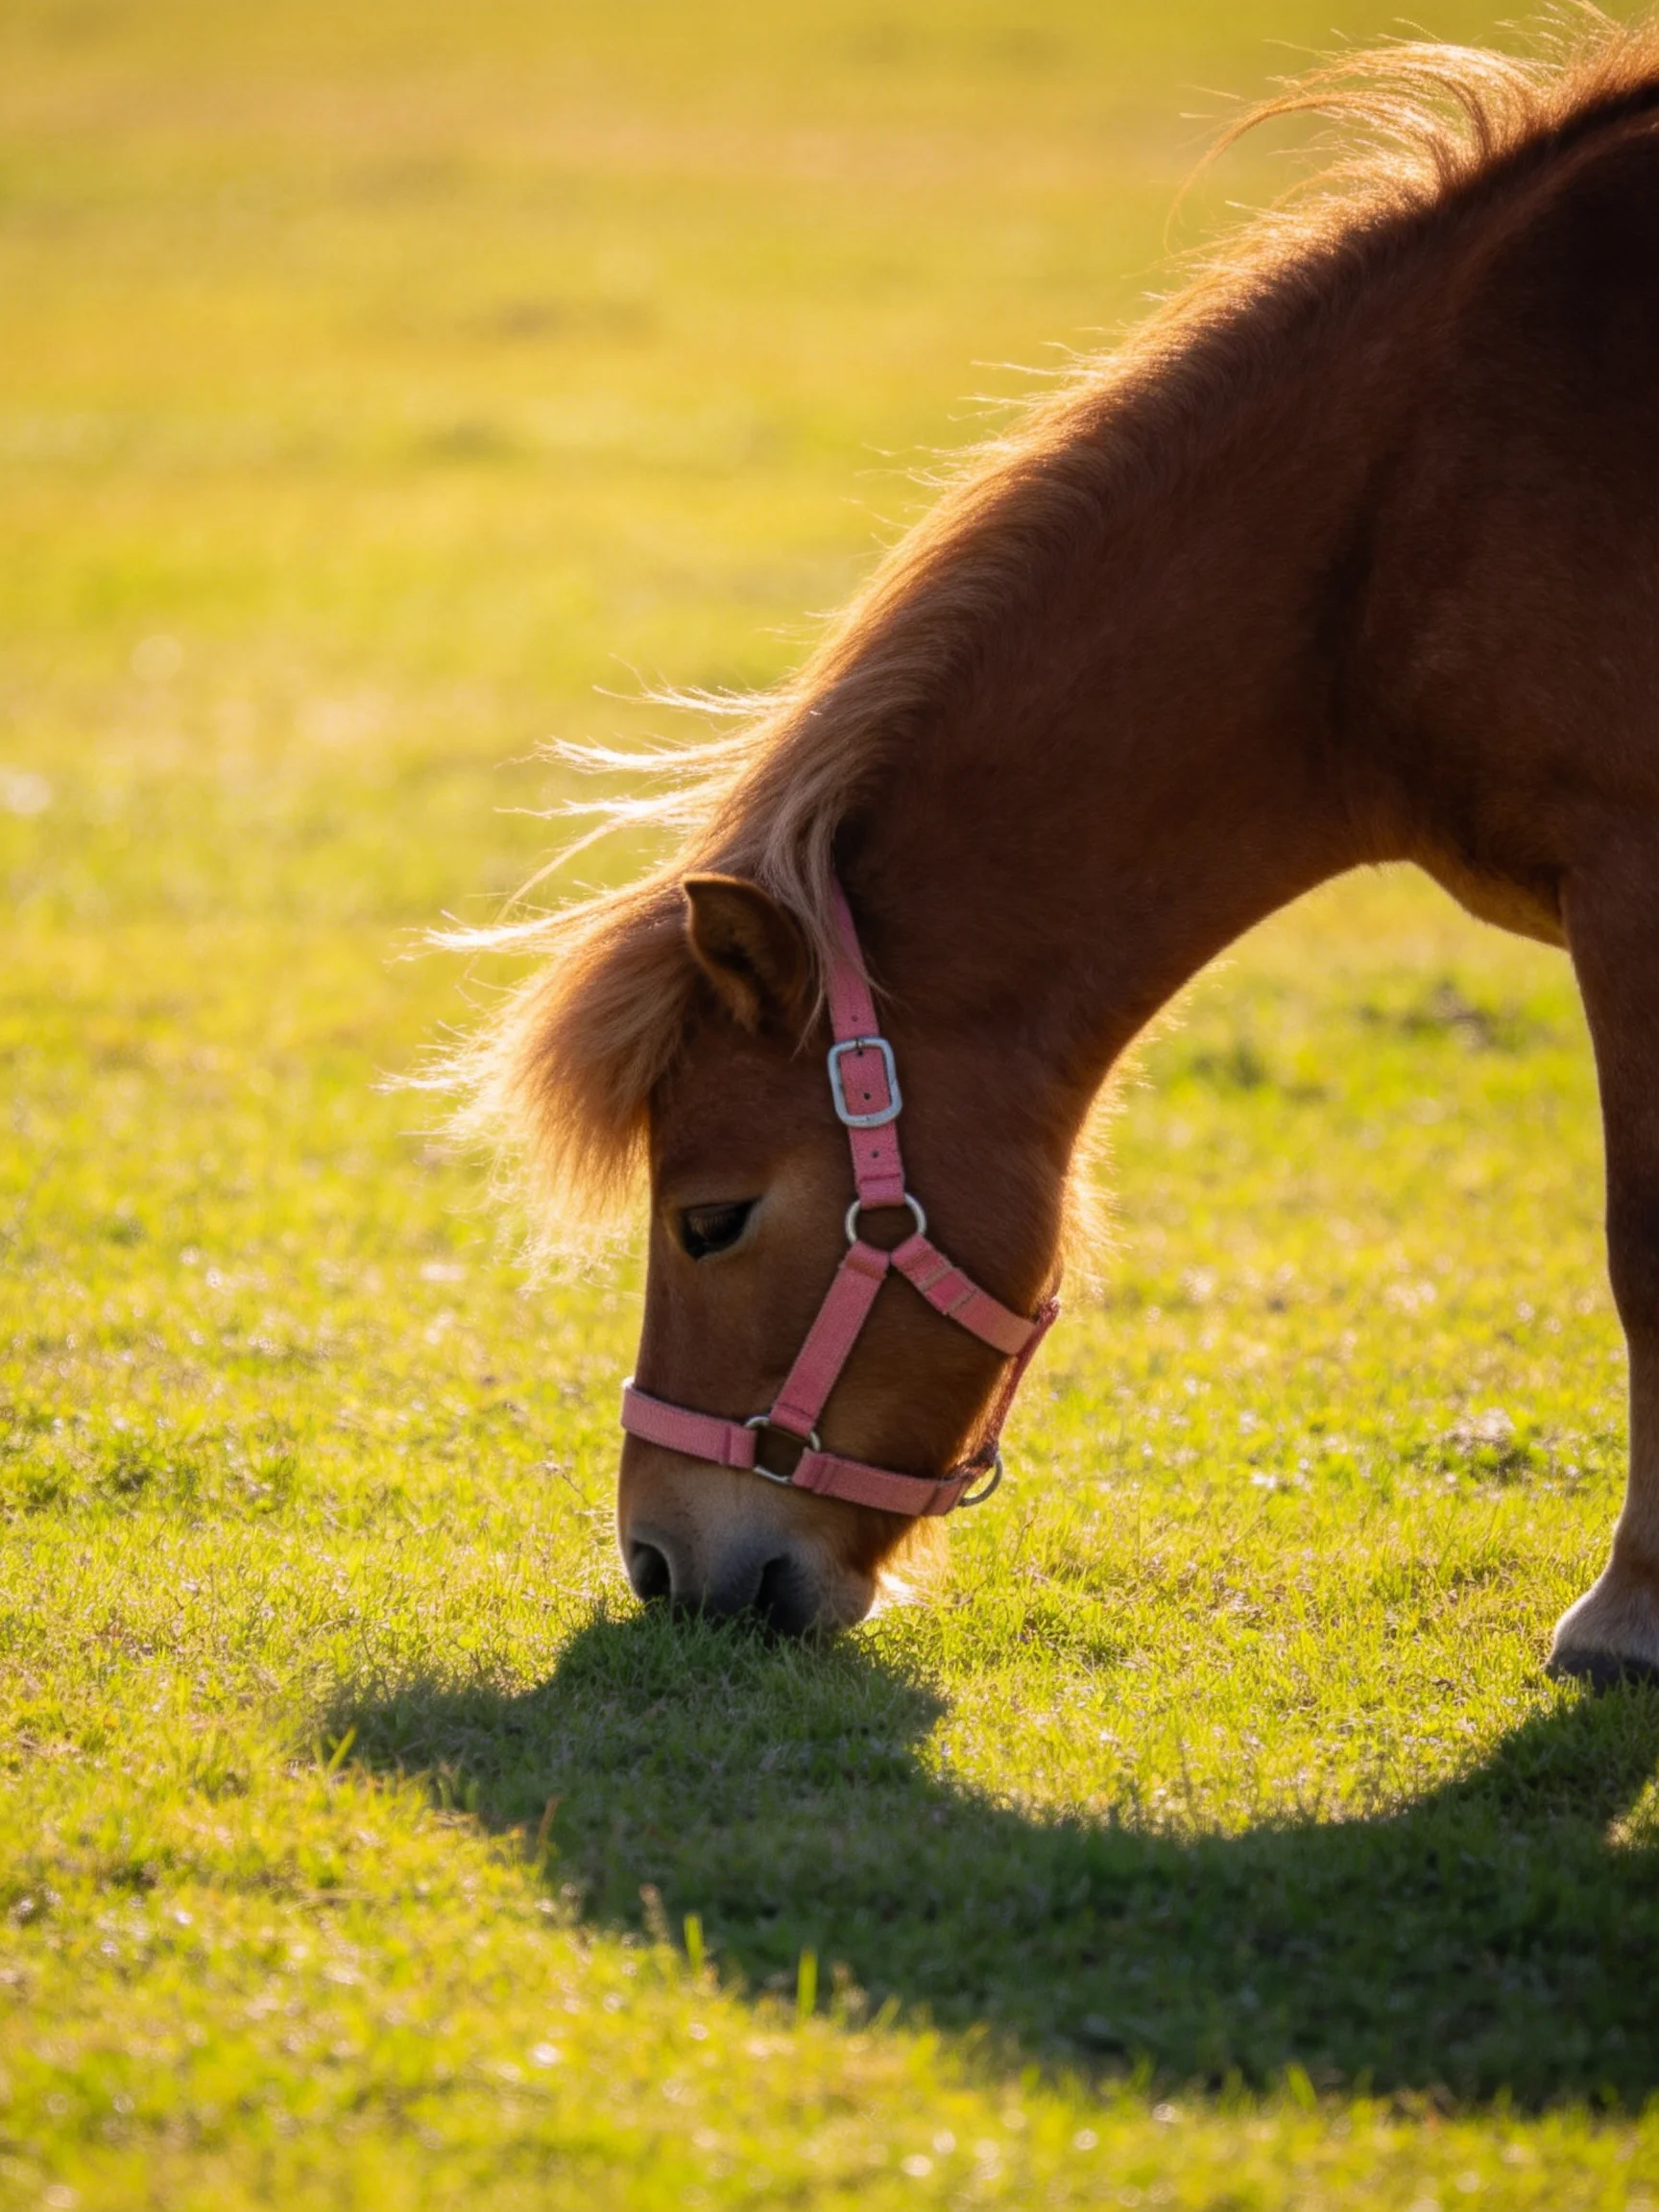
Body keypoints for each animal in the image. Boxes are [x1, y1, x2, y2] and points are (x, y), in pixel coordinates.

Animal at [456, 14, 1659, 1671]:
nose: (655, 1561)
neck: (1405, 508)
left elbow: (1646, 1250)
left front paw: (1629, 1610)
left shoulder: (1633, 882)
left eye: (708, 1221)